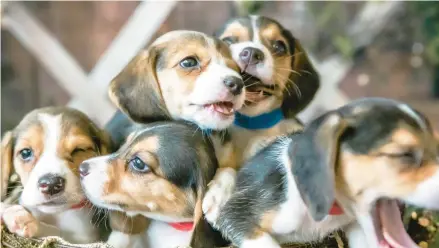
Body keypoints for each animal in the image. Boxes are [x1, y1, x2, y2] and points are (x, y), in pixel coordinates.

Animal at [0, 106, 111, 242]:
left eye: (79, 150)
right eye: (25, 152)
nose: (51, 184)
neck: (55, 214)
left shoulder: (84, 239)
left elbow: (56, 233)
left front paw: (27, 221)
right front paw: (8, 210)